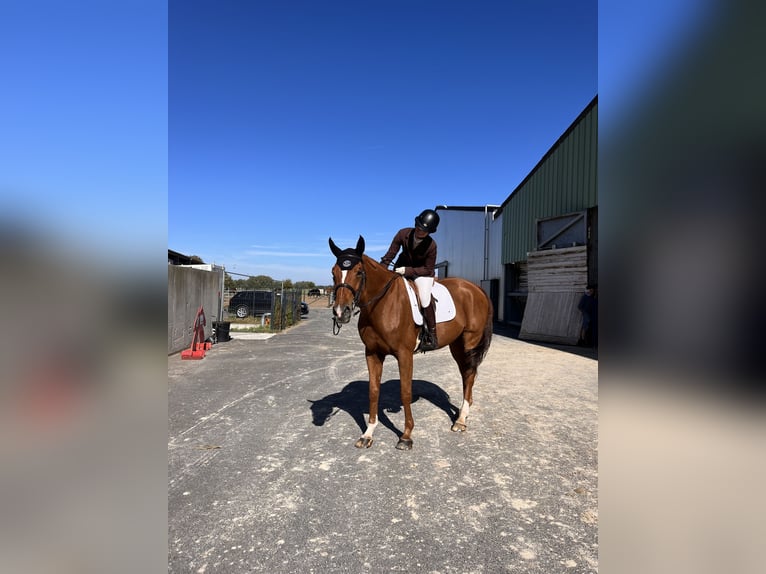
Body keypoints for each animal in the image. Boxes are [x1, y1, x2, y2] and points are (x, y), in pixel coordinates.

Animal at [328, 236, 496, 452]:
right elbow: (373, 391)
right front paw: (368, 434)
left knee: (470, 374)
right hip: (457, 345)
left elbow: (405, 392)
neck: (382, 304)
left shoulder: (404, 354)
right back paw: (461, 415)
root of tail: (476, 288)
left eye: (358, 272)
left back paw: (460, 421)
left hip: (470, 341)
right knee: (466, 374)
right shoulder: (372, 353)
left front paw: (406, 436)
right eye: (333, 272)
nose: (341, 312)